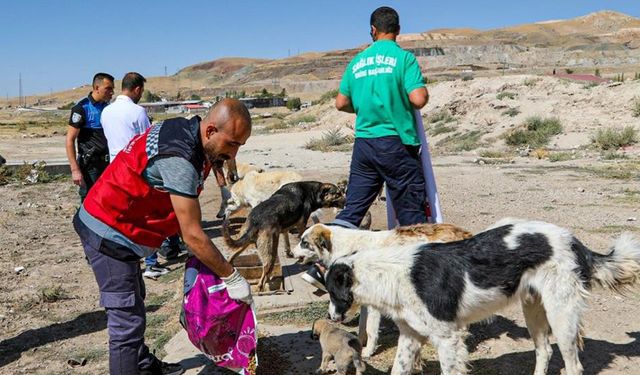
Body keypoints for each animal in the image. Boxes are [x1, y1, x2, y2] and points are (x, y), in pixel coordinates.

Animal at [294, 223, 470, 358]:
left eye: (304, 242)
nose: (291, 252)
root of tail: (463, 232)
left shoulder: (374, 305)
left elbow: (371, 329)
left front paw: (368, 352)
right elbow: (362, 326)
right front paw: (359, 343)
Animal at [328, 217, 640, 375]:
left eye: (331, 291)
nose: (330, 316)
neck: (393, 272)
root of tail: (574, 241)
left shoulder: (448, 339)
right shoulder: (410, 336)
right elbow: (398, 369)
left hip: (561, 316)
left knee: (573, 365)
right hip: (534, 311)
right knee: (544, 351)